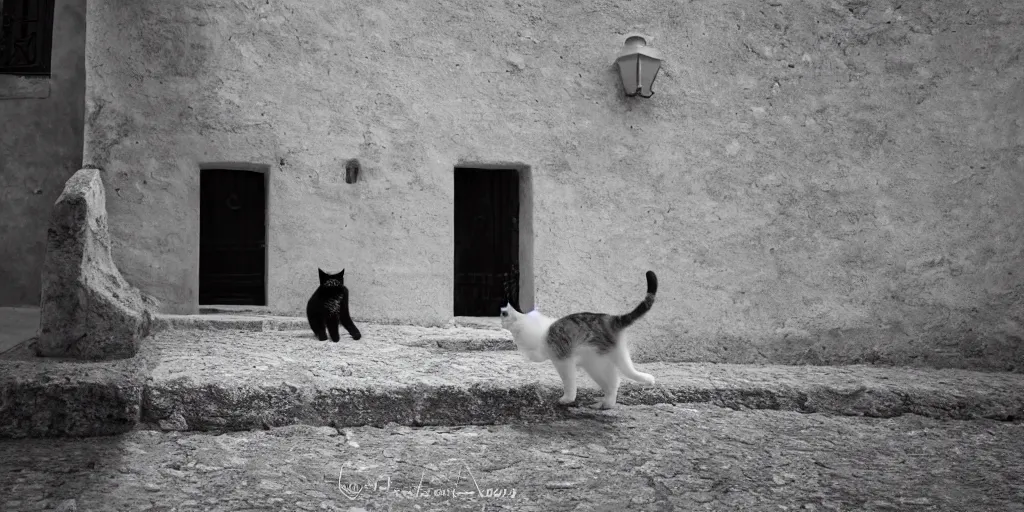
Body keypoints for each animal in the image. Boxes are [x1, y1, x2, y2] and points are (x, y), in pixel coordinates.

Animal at [501, 270, 659, 409]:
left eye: (503, 313)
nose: (500, 322)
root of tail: (612, 319)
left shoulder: (563, 361)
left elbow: (569, 381)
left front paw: (568, 398)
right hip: (605, 360)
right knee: (617, 380)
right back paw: (608, 403)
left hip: (600, 362)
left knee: (616, 379)